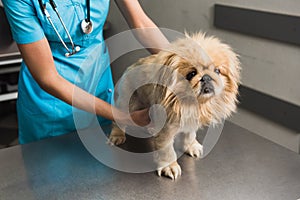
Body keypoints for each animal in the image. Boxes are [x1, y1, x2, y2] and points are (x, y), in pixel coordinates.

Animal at [108, 31, 241, 180]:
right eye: (191, 74)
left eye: (217, 71)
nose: (206, 77)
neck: (192, 103)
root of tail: (129, 68)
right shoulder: (166, 128)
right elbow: (167, 149)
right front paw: (169, 167)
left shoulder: (190, 120)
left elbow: (189, 135)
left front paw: (191, 146)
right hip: (127, 104)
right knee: (118, 121)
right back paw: (117, 136)